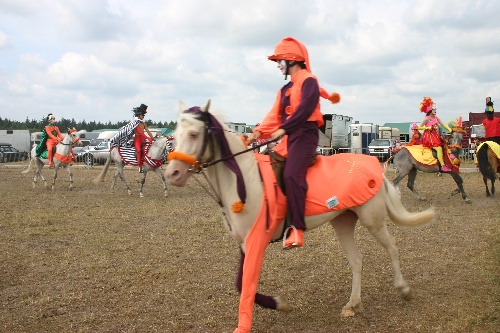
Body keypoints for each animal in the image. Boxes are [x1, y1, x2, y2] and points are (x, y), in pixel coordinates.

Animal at [165, 100, 438, 332]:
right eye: (175, 136)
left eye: (194, 134)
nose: (173, 173)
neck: (244, 179)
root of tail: (375, 168)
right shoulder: (245, 242)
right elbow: (241, 283)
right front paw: (279, 305)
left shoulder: (256, 241)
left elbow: (246, 283)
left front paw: (249, 322)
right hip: (343, 222)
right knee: (357, 260)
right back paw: (352, 305)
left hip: (373, 220)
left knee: (392, 247)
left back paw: (403, 289)